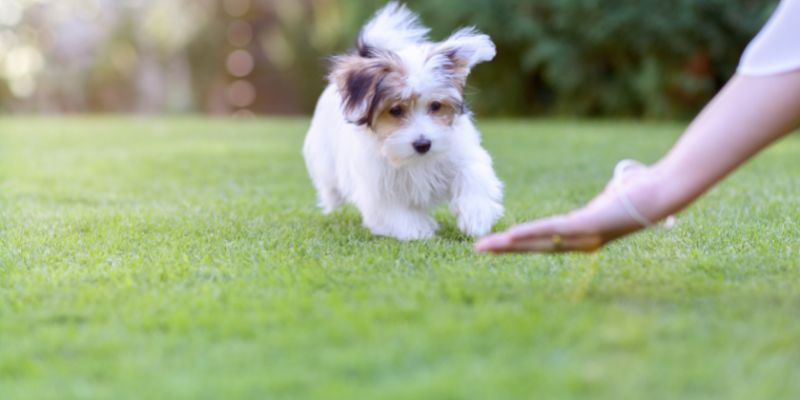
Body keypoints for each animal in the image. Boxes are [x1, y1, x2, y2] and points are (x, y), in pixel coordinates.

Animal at [304, 2, 504, 241]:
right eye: (396, 110)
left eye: (435, 106)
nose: (423, 144)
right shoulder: (379, 185)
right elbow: (396, 211)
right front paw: (418, 230)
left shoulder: (462, 155)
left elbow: (473, 176)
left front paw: (477, 216)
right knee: (329, 183)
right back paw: (331, 199)